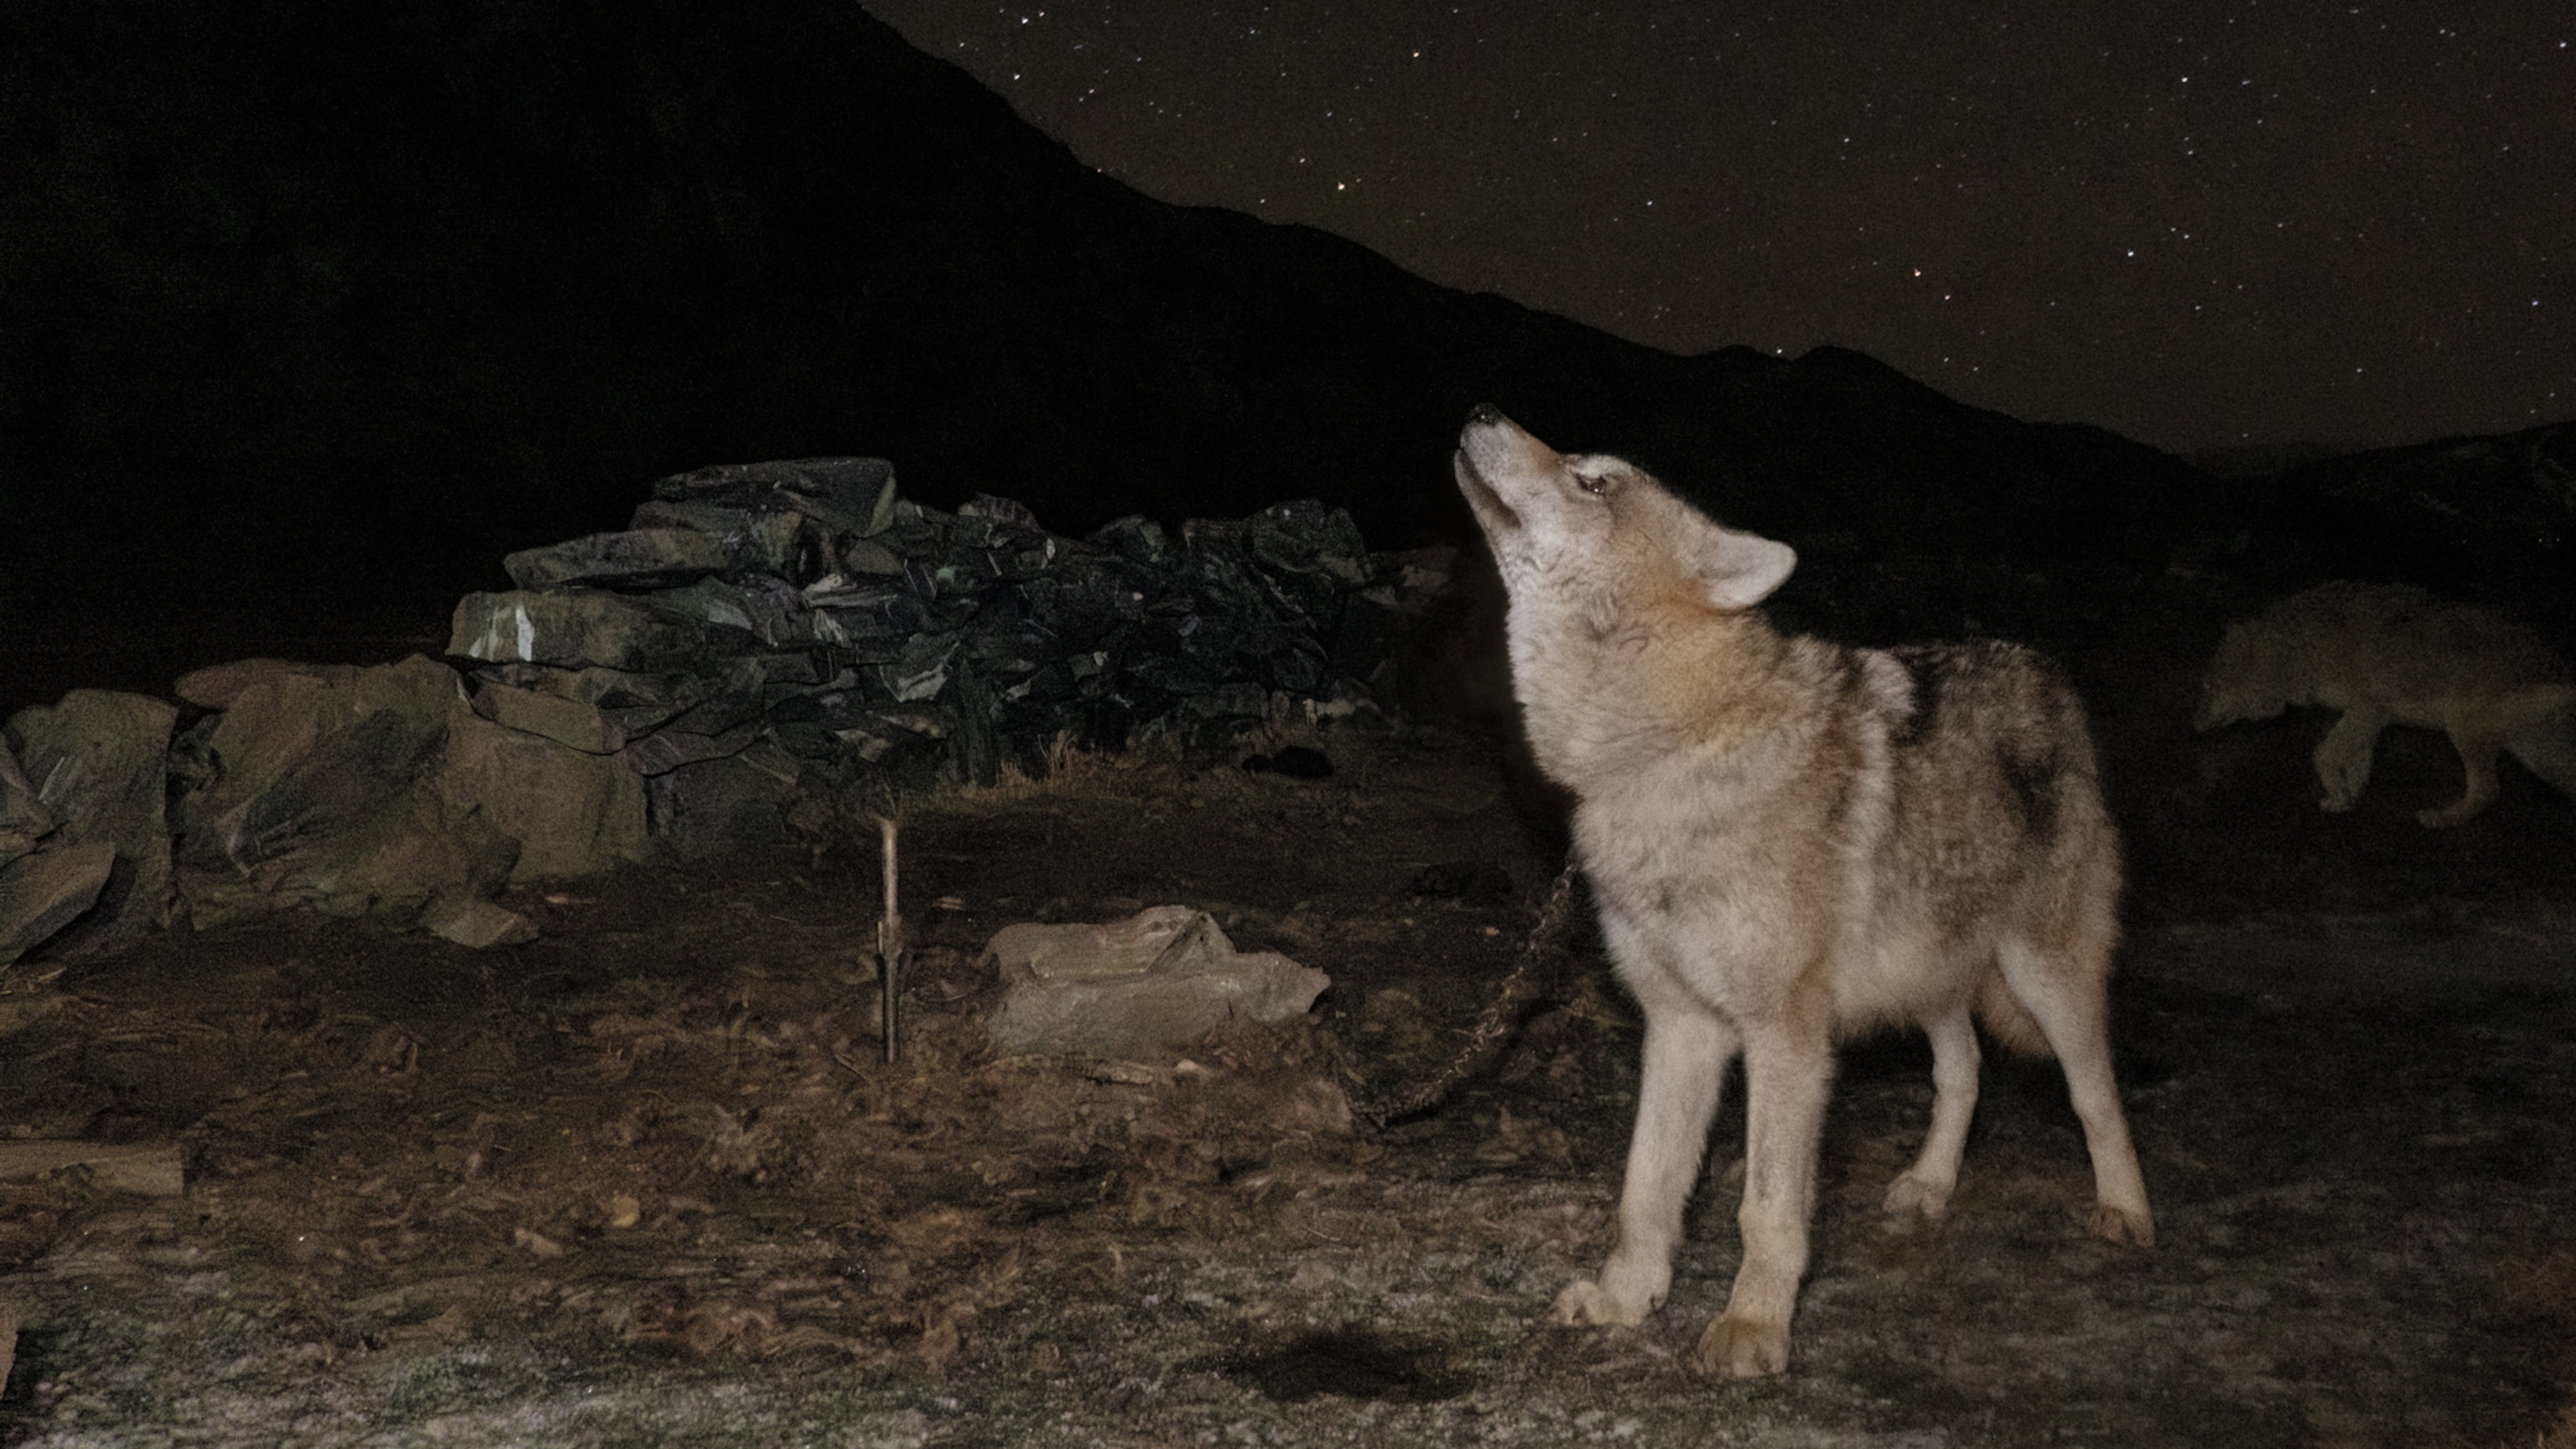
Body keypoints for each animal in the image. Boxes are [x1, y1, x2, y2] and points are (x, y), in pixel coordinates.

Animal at [1452, 406, 2153, 1379]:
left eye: (1593, 480)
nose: (1482, 412)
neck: (1667, 746)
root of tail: (2042, 671)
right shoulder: (1681, 1026)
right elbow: (1645, 1189)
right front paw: (1627, 1302)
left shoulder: (1784, 1037)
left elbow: (1766, 1207)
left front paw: (1752, 1330)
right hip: (1931, 979)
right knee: (1963, 1072)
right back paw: (1930, 1186)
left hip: (2045, 978)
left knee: (2095, 1094)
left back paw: (2126, 1211)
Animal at [2195, 580, 2576, 827]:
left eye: (2208, 686)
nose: (2194, 726)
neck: (2297, 649)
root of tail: (2561, 669)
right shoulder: (2370, 717)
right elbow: (2356, 762)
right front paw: (2347, 797)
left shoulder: (2368, 709)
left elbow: (2324, 754)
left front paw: (2340, 793)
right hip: (2535, 755)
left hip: (2464, 732)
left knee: (2487, 790)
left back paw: (2442, 819)